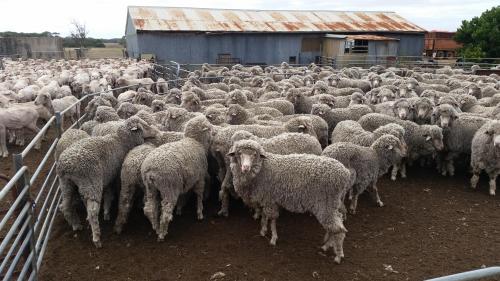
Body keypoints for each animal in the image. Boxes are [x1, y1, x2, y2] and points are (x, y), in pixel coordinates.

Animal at [56, 115, 155, 246]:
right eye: (145, 126)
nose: (155, 131)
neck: (120, 141)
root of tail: (67, 165)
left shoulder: (108, 177)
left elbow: (108, 194)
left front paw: (106, 212)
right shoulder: (115, 177)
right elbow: (112, 194)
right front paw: (107, 213)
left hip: (66, 183)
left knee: (64, 206)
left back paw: (76, 225)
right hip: (92, 182)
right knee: (92, 211)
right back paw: (97, 238)